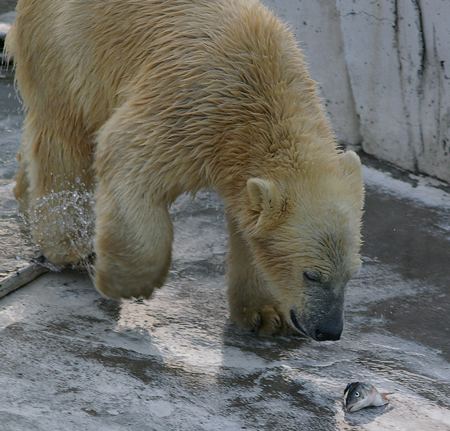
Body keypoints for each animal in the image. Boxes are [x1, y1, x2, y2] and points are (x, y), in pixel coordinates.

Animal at [6, 0, 366, 340]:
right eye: (311, 274)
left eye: (352, 273)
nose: (330, 331)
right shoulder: (193, 107)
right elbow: (127, 155)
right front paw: (126, 284)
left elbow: (251, 231)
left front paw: (267, 315)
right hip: (67, 49)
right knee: (64, 136)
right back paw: (68, 244)